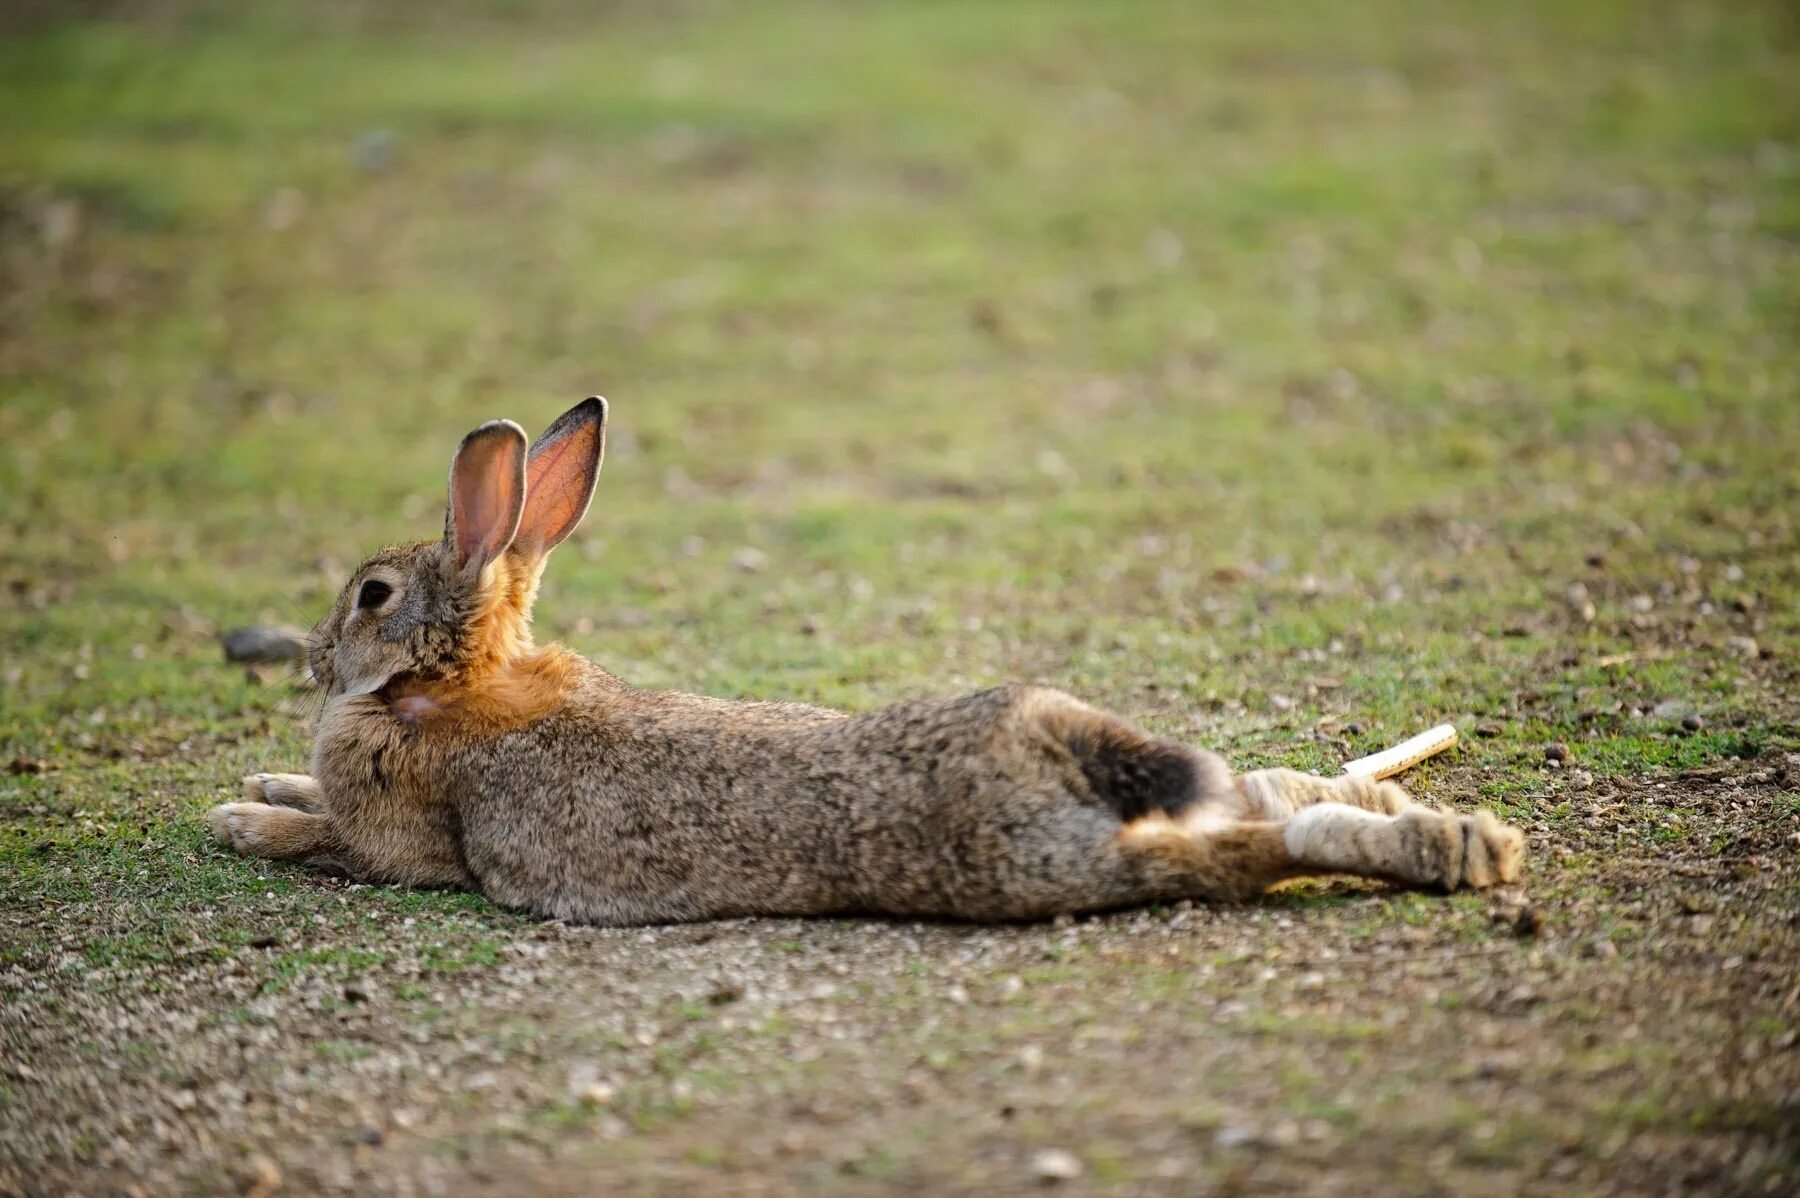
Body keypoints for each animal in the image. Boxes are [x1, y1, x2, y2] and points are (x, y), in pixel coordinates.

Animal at [210, 395, 1533, 917]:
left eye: (371, 595)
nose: (317, 653)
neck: (448, 683)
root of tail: (1051, 747)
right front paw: (263, 781)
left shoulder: (405, 846)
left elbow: (326, 835)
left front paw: (240, 818)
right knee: (1265, 791)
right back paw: (1456, 834)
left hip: (1047, 865)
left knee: (1254, 848)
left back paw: (1437, 851)